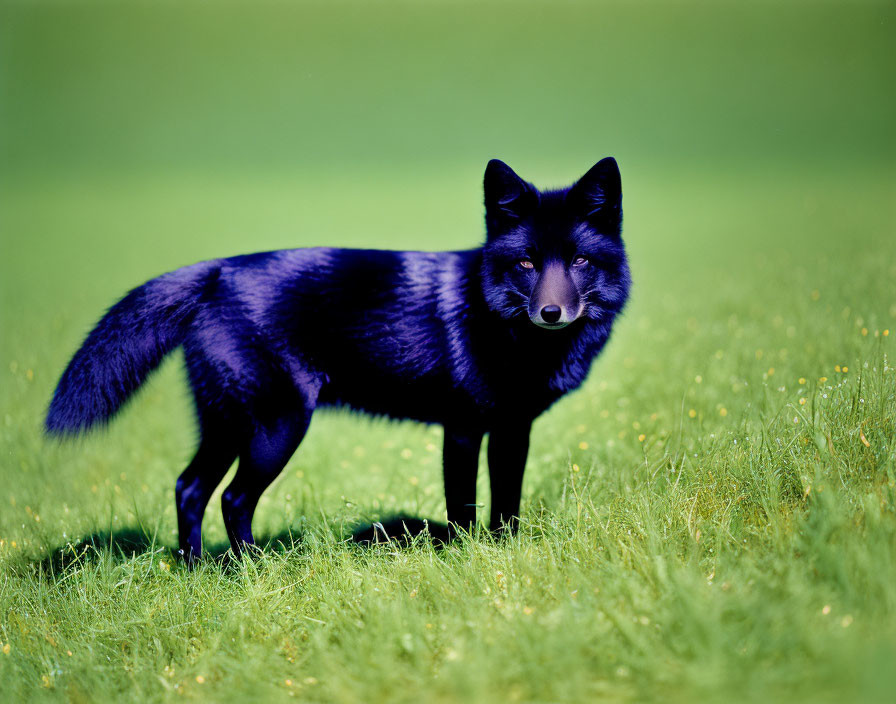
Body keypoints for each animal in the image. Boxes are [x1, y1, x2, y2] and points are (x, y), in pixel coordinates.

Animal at [43, 158, 632, 560]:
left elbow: (506, 504)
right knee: (233, 498)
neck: (514, 337)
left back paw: (196, 571)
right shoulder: (463, 430)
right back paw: (250, 570)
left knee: (189, 489)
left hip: (227, 425)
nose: (551, 312)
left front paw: (503, 557)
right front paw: (466, 561)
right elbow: (463, 508)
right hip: (275, 429)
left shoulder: (512, 430)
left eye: (579, 261)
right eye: (526, 263)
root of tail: (217, 271)